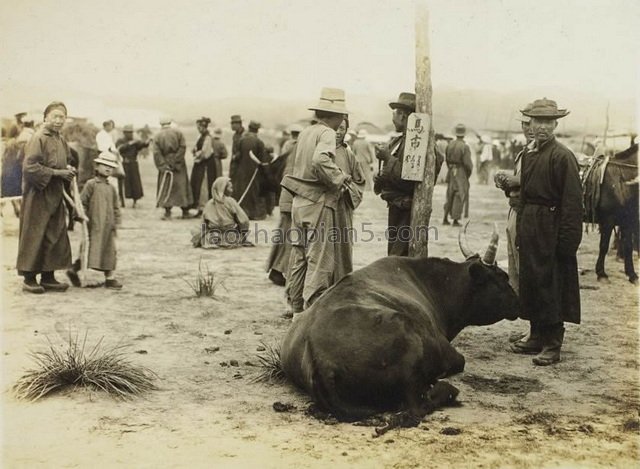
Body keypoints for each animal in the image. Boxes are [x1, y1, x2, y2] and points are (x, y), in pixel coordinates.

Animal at [282, 224, 520, 428]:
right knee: (417, 404)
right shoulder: (447, 351)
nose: (520, 302)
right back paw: (447, 389)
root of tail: (317, 355)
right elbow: (459, 362)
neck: (435, 284)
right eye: (502, 277)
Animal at [584, 137, 636, 284]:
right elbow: (603, 246)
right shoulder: (608, 220)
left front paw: (632, 275)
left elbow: (628, 246)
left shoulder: (627, 221)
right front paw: (601, 274)